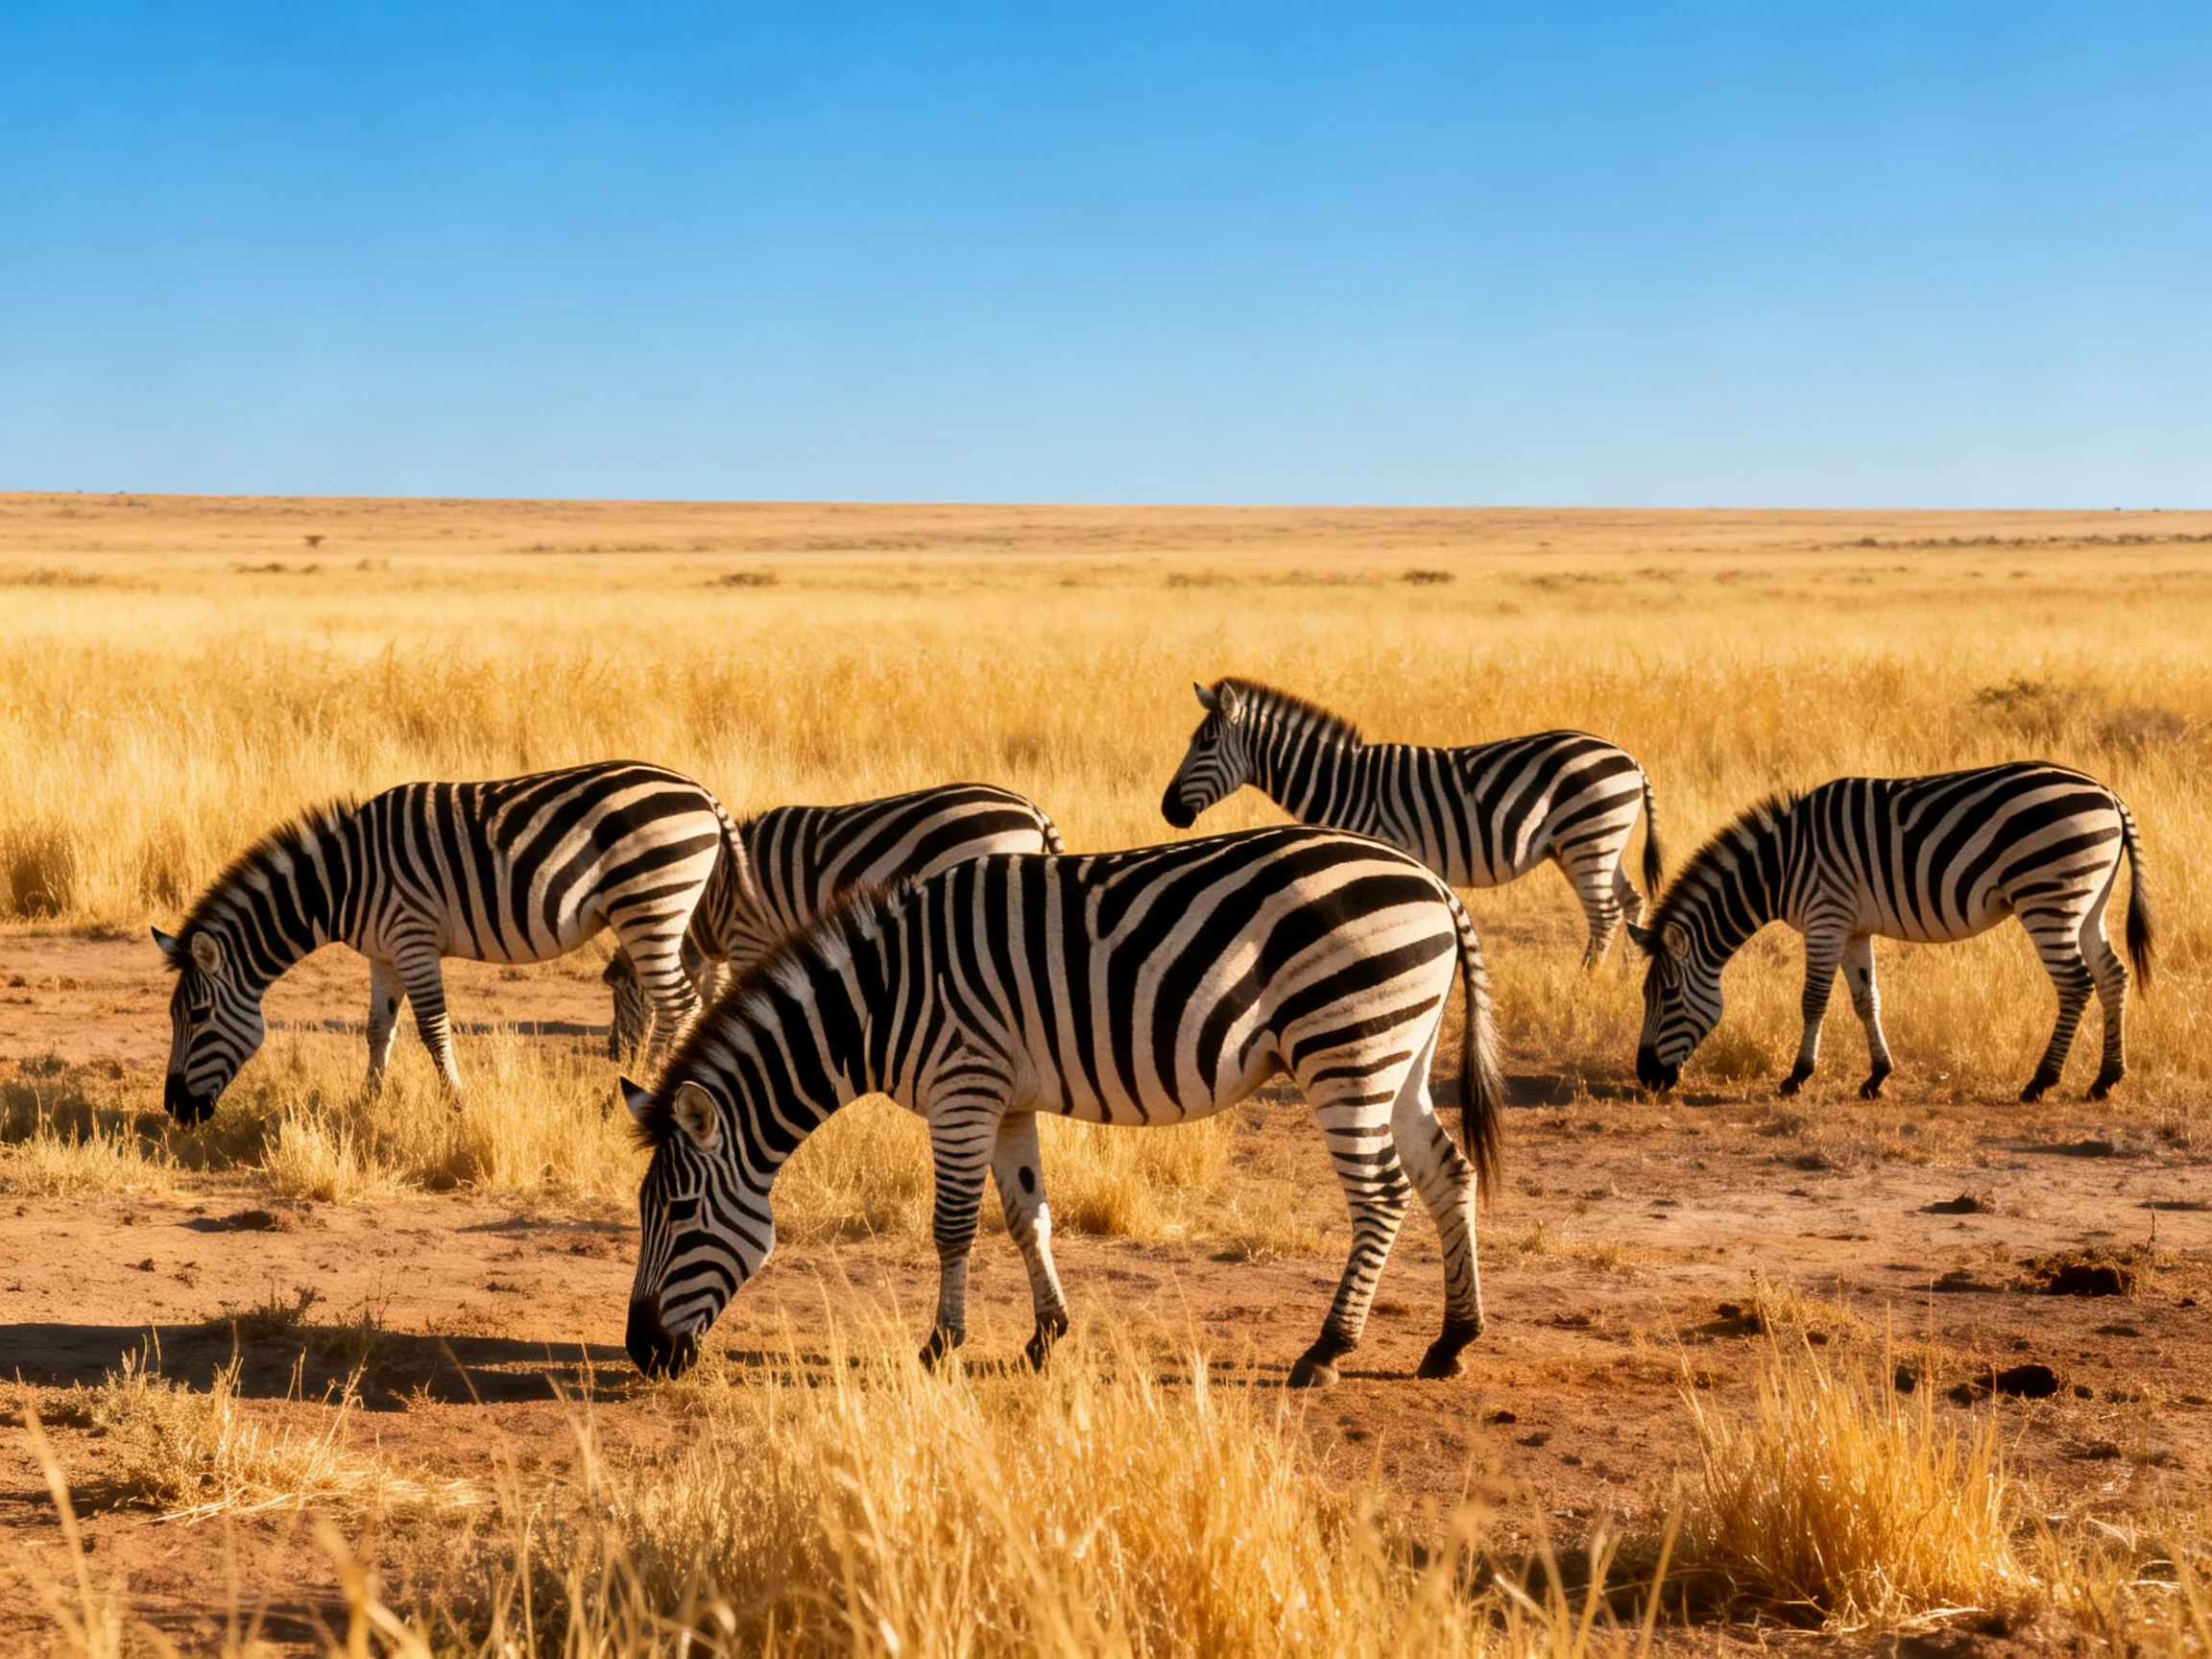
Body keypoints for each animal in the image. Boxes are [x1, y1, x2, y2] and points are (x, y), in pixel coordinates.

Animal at [154, 761, 748, 1123]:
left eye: (198, 1016)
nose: (175, 1109)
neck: (343, 879)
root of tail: (700, 791)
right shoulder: (383, 953)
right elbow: (378, 1029)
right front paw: (366, 1104)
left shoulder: (413, 937)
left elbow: (432, 1028)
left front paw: (457, 1104)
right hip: (673, 912)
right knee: (694, 996)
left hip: (650, 904)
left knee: (678, 1004)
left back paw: (634, 1096)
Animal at [621, 824, 1506, 1388]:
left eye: (683, 1212)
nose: (640, 1353)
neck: (876, 1001)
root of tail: (1431, 881)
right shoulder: (1006, 1100)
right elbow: (1026, 1216)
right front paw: (1046, 1337)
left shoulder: (962, 1086)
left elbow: (952, 1226)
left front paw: (939, 1348)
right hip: (1398, 1053)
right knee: (1448, 1175)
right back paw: (1451, 1342)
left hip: (1345, 1045)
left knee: (1382, 1196)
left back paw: (1327, 1351)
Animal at [1161, 678, 1662, 967]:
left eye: (1206, 744)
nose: (1168, 810)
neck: (1343, 783)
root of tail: (1629, 758)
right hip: (1600, 842)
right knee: (1631, 901)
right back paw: (1626, 977)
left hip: (1587, 838)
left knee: (1605, 913)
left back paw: (1586, 982)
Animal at [1629, 762, 2154, 1103]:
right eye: (1647, 996)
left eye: (1668, 996)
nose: (1646, 1077)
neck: (1779, 867)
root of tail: (2109, 794)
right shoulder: (1853, 928)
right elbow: (1867, 999)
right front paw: (1876, 1077)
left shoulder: (1825, 917)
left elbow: (1813, 1000)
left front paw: (1796, 1077)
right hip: (2087, 900)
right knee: (2111, 974)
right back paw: (2105, 1080)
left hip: (2047, 896)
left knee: (2076, 983)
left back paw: (2040, 1083)